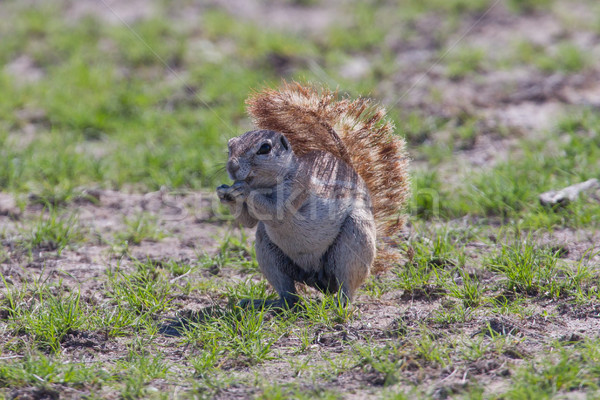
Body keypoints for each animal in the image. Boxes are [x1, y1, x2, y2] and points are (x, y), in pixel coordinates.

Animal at [218, 80, 410, 306]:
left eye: (265, 148)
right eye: (230, 147)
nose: (232, 167)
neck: (267, 183)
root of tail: (317, 280)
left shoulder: (299, 185)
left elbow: (277, 209)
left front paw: (243, 189)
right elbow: (248, 222)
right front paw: (223, 193)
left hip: (352, 242)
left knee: (346, 285)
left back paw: (341, 303)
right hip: (268, 250)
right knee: (289, 296)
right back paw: (266, 303)